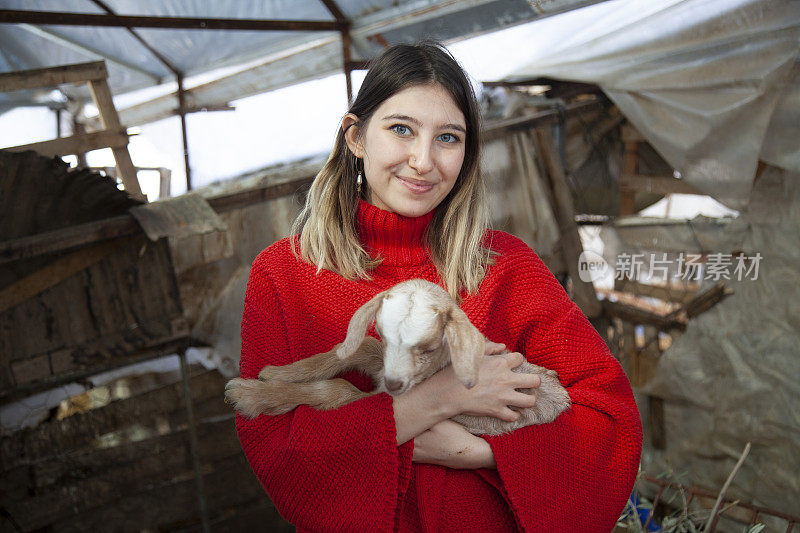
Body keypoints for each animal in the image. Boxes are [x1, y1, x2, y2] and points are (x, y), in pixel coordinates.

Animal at [225, 276, 568, 434]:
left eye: (429, 348)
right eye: (385, 336)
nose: (393, 384)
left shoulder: (384, 398)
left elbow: (337, 391)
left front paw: (250, 394)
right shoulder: (379, 361)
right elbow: (356, 348)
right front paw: (278, 372)